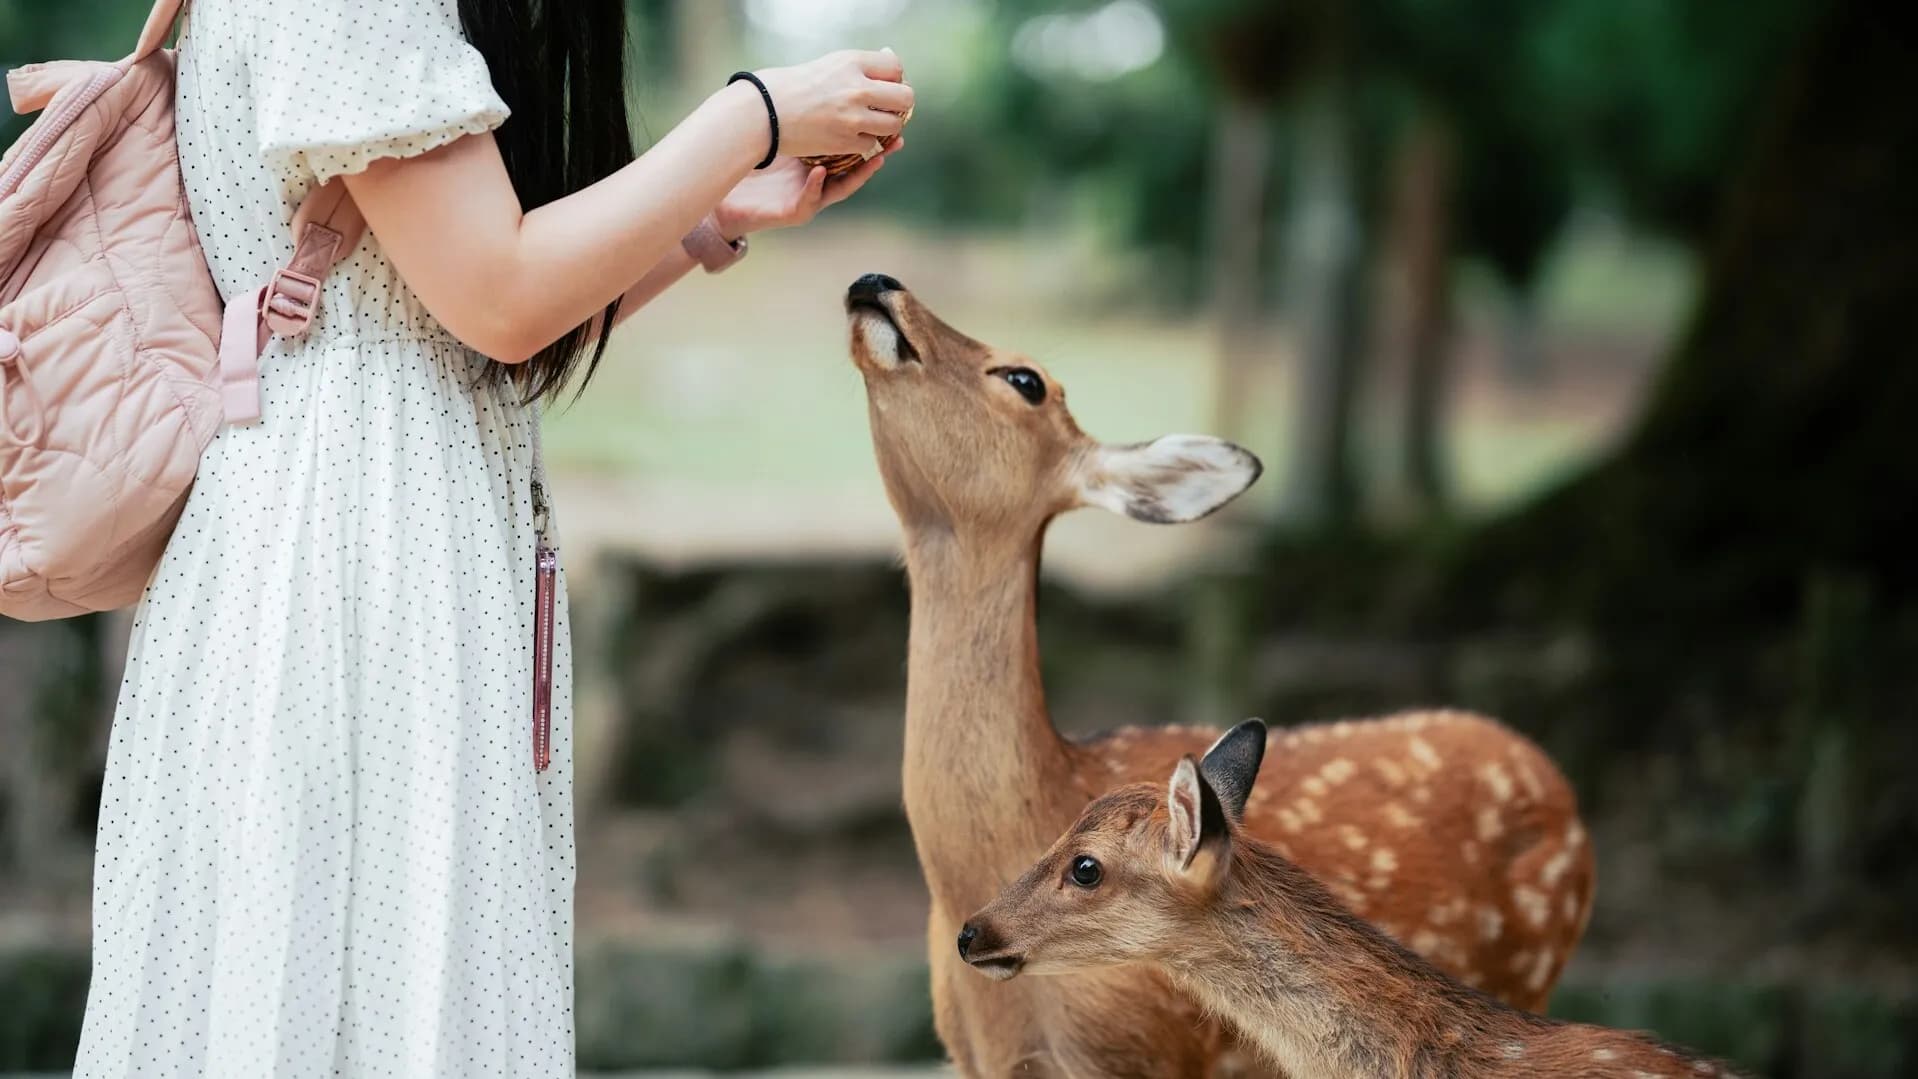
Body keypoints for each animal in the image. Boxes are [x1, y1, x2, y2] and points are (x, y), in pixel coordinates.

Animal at [843, 273, 1596, 1076]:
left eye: (1025, 379)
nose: (877, 282)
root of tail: (1556, 782)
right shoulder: (970, 1055)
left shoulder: (1153, 1047)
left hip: (1526, 969)